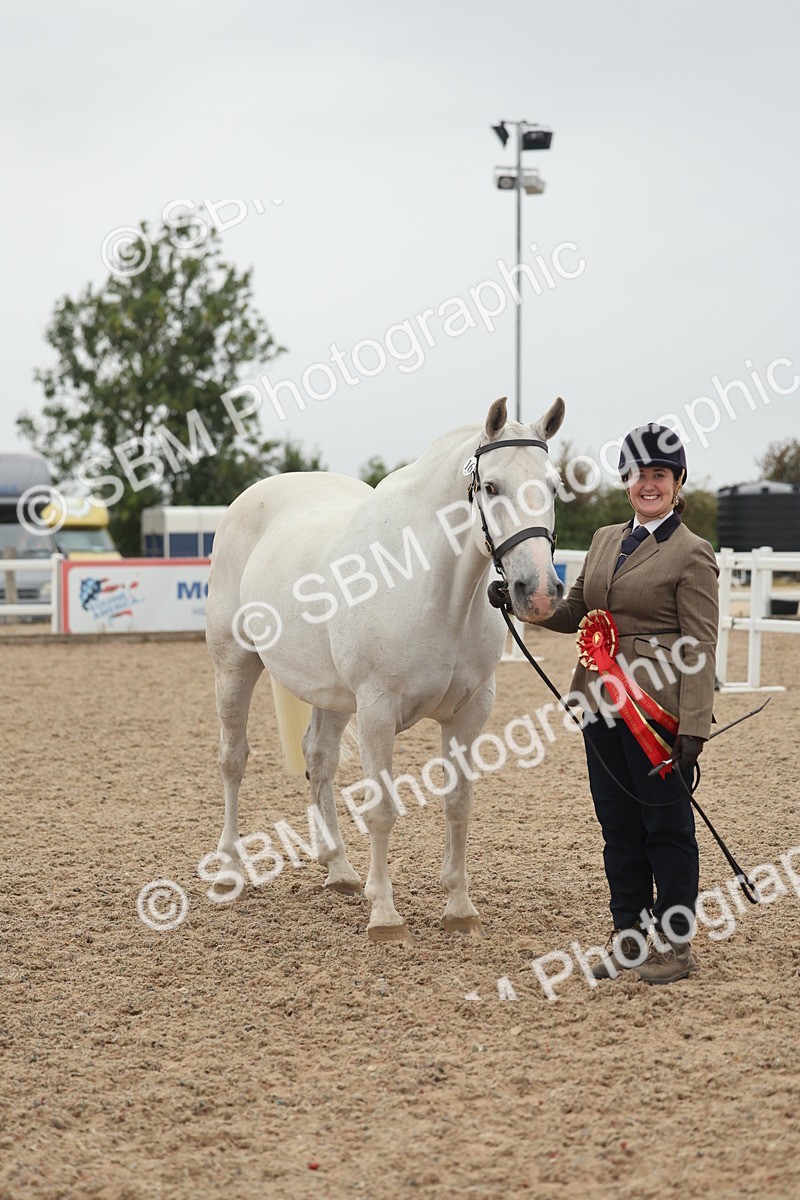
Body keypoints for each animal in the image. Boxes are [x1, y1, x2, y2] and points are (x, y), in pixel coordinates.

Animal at [205, 395, 566, 940]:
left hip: (332, 694)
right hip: (235, 663)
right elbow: (380, 810)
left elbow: (458, 804)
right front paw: (385, 916)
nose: (538, 591)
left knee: (319, 759)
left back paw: (339, 868)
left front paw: (459, 908)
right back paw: (229, 870)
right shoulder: (376, 711)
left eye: (551, 487)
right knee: (233, 759)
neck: (431, 589)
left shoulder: (471, 711)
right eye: (491, 486)